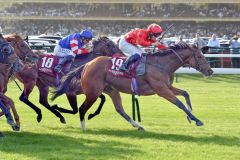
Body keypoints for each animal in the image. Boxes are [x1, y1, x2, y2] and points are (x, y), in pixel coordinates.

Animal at [54, 42, 214, 130]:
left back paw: (138, 125)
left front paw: (191, 116)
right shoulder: (161, 89)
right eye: (199, 56)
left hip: (111, 90)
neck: (161, 64)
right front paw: (197, 120)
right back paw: (83, 127)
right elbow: (179, 103)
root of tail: (87, 64)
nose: (210, 71)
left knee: (119, 109)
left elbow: (186, 93)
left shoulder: (167, 87)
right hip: (93, 91)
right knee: (82, 108)